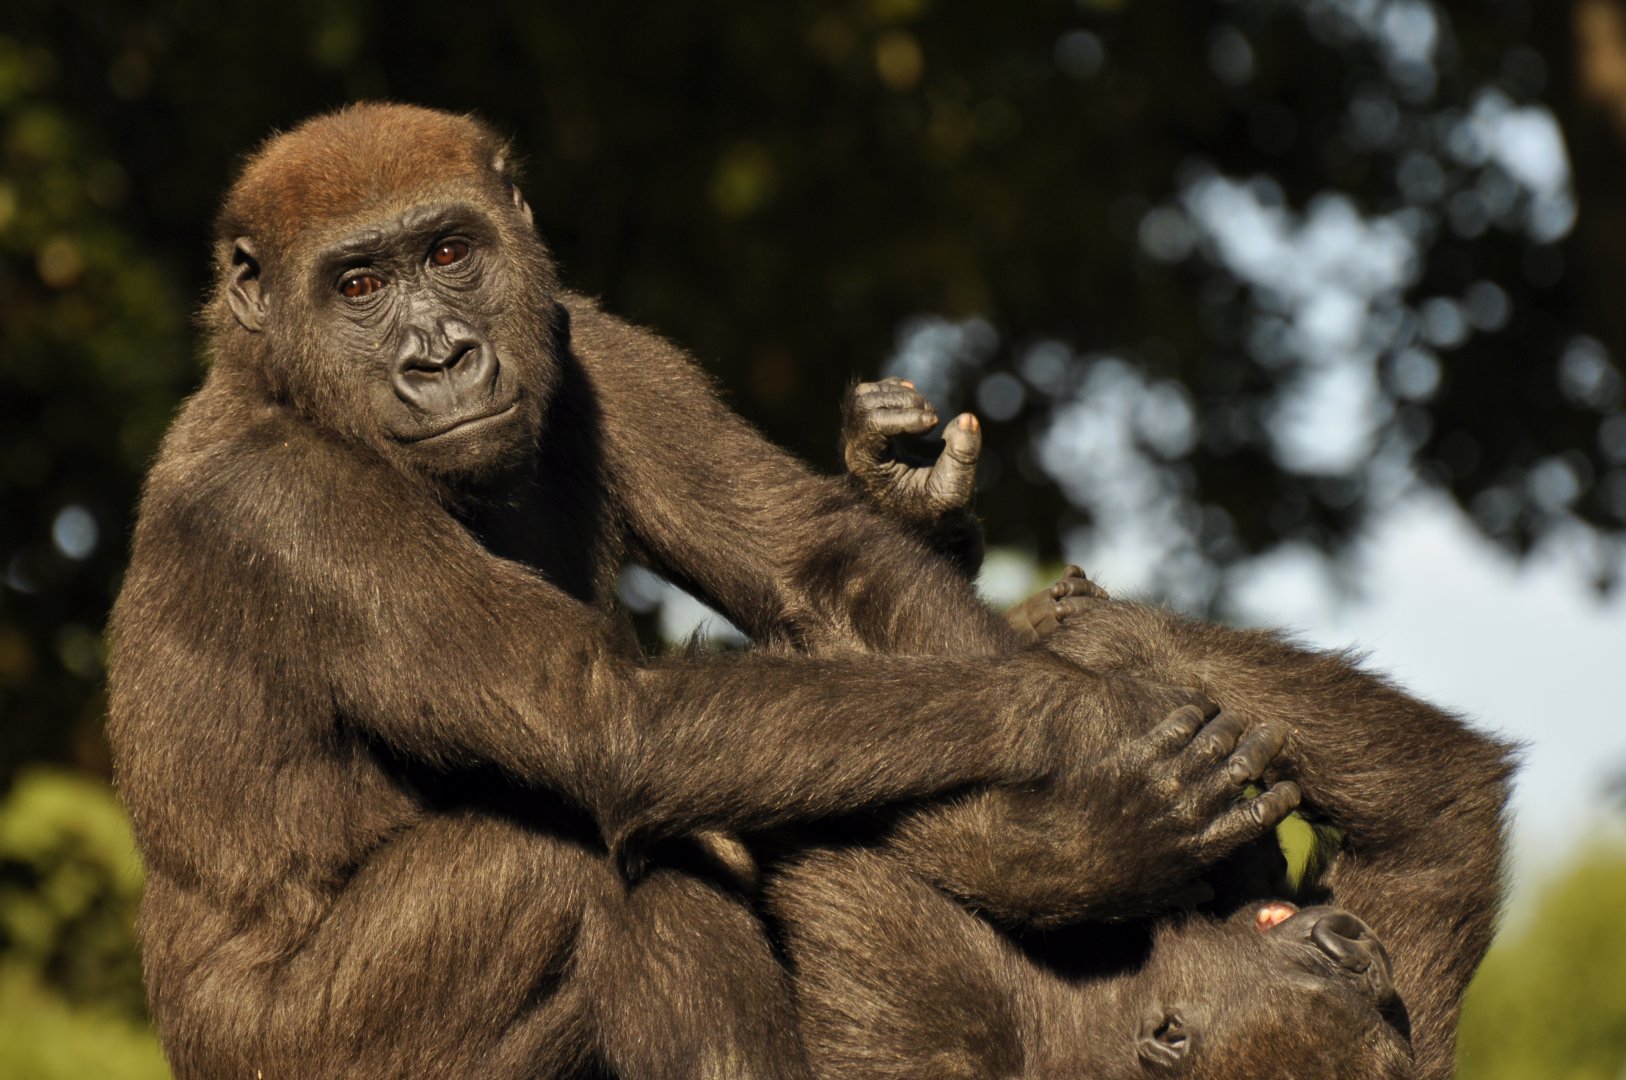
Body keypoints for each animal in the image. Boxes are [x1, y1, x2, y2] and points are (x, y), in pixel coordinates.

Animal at [106, 103, 1297, 1079]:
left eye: (449, 253)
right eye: (357, 287)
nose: (439, 359)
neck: (280, 380)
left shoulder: (590, 340)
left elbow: (818, 565)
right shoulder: (285, 505)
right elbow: (611, 721)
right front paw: (1065, 803)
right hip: (294, 1054)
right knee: (571, 861)